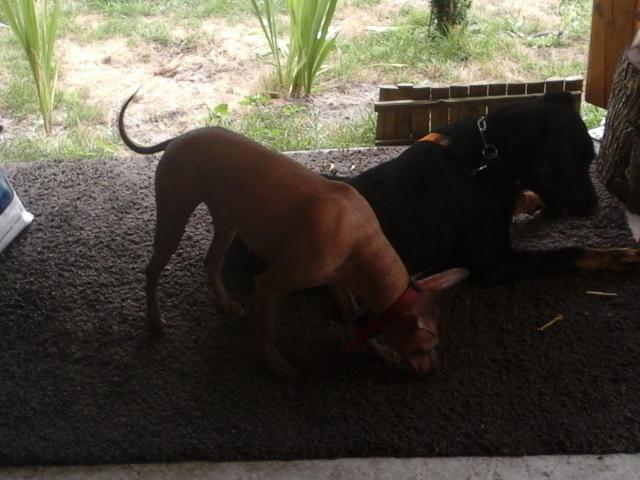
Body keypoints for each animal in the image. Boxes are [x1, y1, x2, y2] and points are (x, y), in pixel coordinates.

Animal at [118, 92, 468, 377]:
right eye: (422, 348)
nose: (432, 371)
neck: (359, 239)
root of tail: (180, 136)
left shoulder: (341, 281)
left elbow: (355, 317)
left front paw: (378, 351)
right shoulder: (269, 285)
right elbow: (269, 330)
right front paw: (274, 364)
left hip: (228, 222)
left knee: (211, 262)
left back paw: (226, 304)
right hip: (174, 217)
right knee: (152, 269)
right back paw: (155, 321)